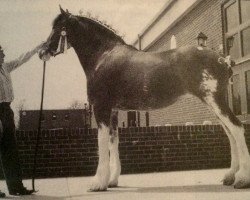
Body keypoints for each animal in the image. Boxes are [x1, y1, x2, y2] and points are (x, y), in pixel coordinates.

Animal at [38, 6, 250, 191]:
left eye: (57, 28)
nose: (42, 52)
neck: (104, 56)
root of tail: (224, 60)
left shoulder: (101, 107)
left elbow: (101, 142)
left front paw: (98, 183)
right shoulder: (114, 111)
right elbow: (114, 141)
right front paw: (112, 180)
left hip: (215, 101)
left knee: (236, 128)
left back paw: (241, 179)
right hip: (214, 104)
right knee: (229, 133)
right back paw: (229, 176)